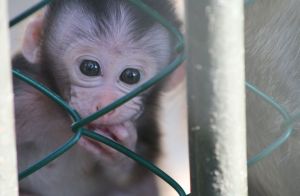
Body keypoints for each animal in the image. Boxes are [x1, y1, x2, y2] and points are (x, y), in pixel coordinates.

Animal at [12, 0, 179, 195]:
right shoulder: (26, 99)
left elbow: (129, 176)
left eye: (131, 76)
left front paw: (120, 152)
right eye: (89, 68)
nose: (106, 104)